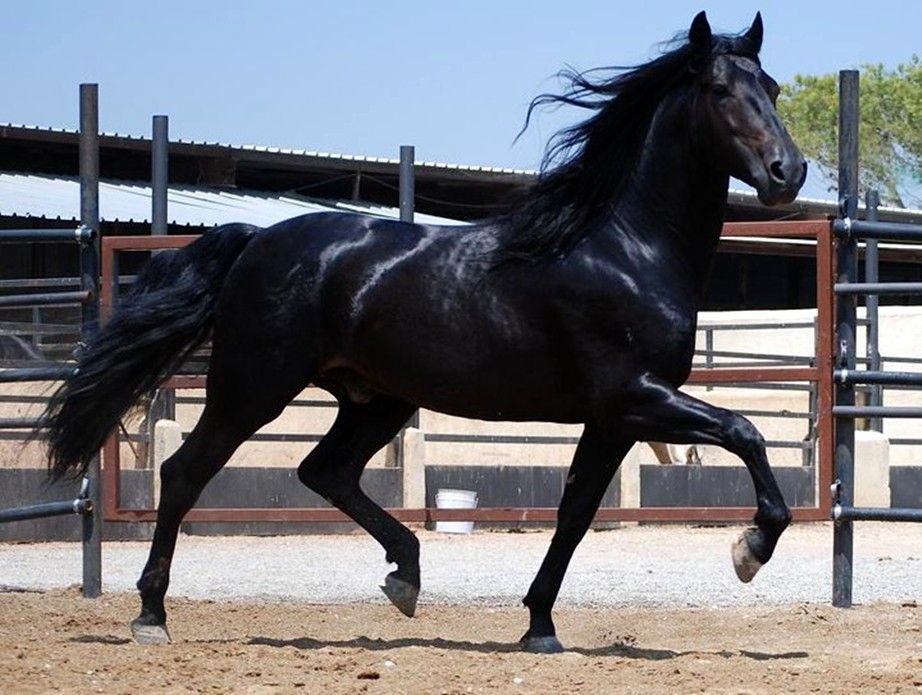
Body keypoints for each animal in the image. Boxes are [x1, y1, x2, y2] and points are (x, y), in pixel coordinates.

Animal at [43, 10, 800, 652]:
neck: (625, 248)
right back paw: (151, 615)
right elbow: (745, 432)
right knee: (185, 472)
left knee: (323, 470)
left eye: (771, 87)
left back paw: (405, 574)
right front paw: (749, 550)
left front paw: (540, 626)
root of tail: (256, 239)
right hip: (251, 387)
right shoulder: (636, 396)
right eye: (721, 91)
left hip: (376, 399)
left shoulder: (615, 417)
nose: (786, 172)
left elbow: (577, 512)